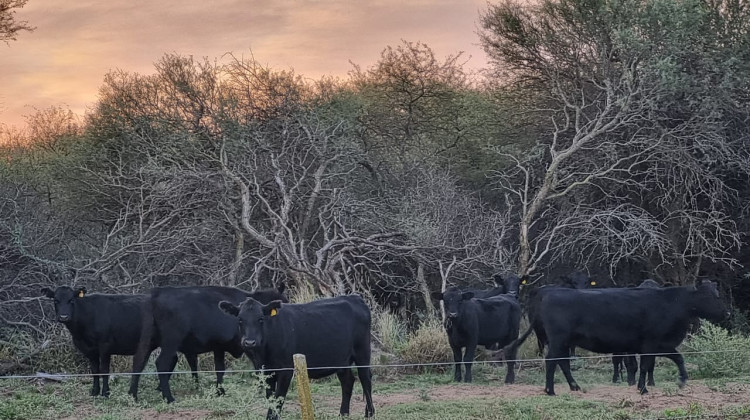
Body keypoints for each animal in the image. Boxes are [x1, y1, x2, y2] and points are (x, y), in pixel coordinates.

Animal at [130, 284, 288, 402]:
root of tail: (157, 293)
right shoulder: (249, 345)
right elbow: (258, 366)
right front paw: (260, 389)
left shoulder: (219, 347)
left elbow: (220, 369)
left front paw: (220, 391)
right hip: (171, 341)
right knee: (161, 363)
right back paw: (169, 398)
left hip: (149, 339)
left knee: (139, 362)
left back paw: (132, 395)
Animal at [222, 296, 376, 420]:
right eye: (240, 320)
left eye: (261, 319)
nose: (249, 342)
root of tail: (355, 297)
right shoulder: (265, 371)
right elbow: (271, 399)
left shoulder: (286, 370)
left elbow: (278, 399)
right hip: (341, 359)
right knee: (348, 381)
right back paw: (343, 414)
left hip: (362, 352)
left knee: (365, 379)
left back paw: (369, 414)